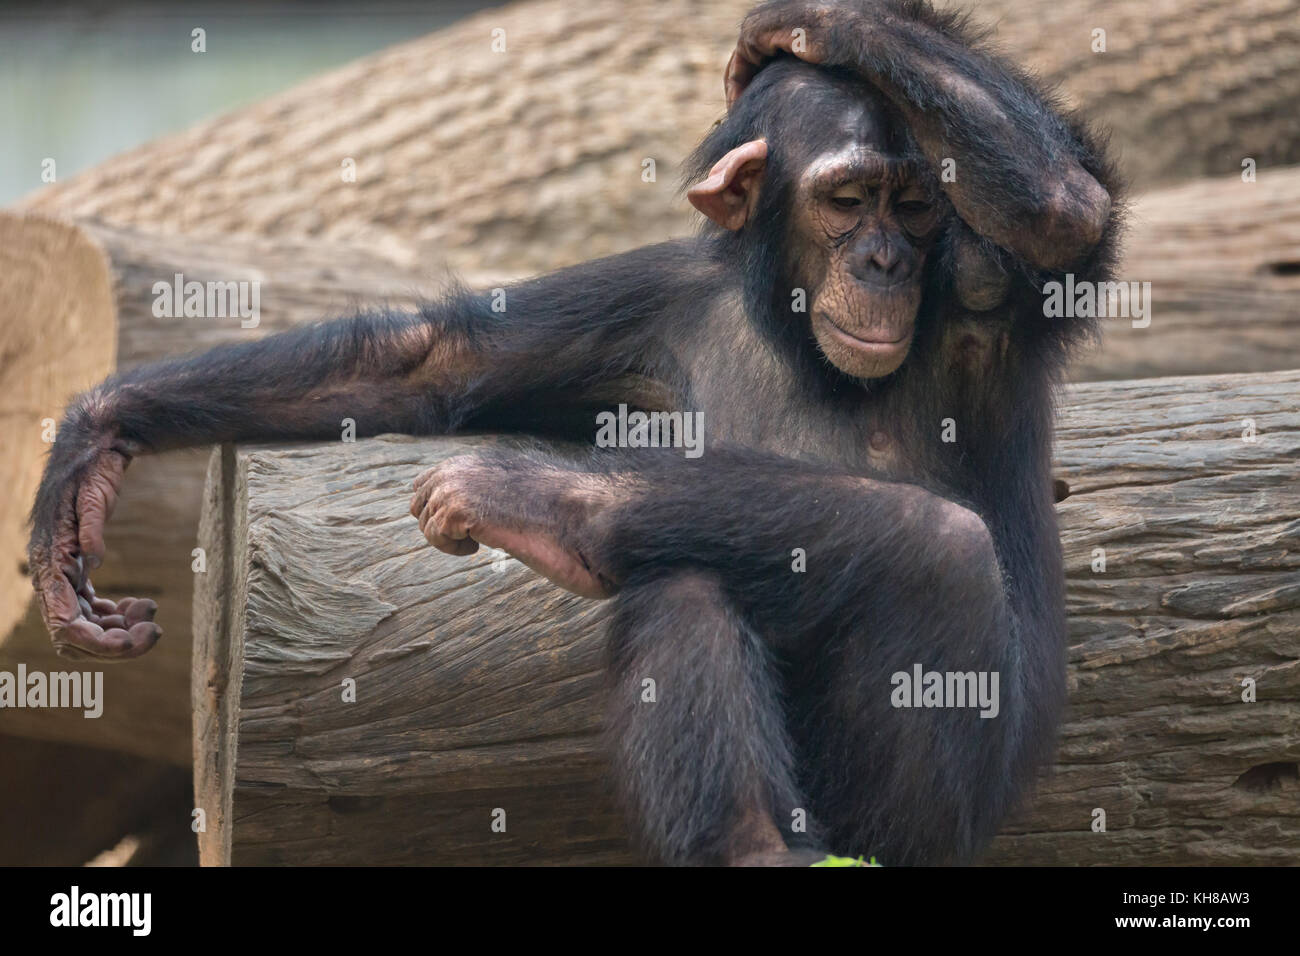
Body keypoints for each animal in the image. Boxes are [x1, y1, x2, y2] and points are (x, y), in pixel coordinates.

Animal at [30, 0, 1118, 868]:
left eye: (917, 203)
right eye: (848, 200)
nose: (887, 261)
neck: (792, 331)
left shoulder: (985, 287)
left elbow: (1062, 208)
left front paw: (813, 21)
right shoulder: (657, 293)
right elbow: (430, 362)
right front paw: (91, 447)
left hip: (941, 820)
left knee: (938, 547)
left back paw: (560, 512)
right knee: (690, 585)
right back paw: (750, 843)